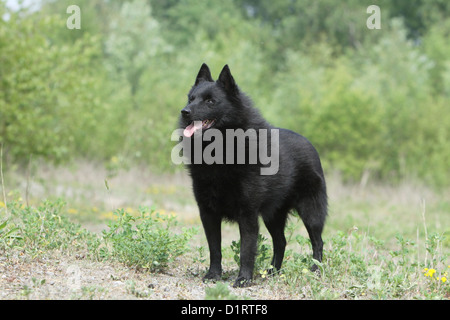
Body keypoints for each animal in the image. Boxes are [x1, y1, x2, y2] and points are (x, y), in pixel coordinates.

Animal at [178, 63, 326, 288]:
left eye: (210, 101)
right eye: (191, 98)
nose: (185, 111)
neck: (221, 152)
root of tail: (310, 145)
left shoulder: (247, 213)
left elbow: (246, 249)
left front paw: (243, 278)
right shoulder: (208, 213)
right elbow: (215, 248)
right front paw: (214, 274)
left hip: (311, 212)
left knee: (317, 242)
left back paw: (315, 270)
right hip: (273, 215)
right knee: (280, 242)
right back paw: (272, 272)